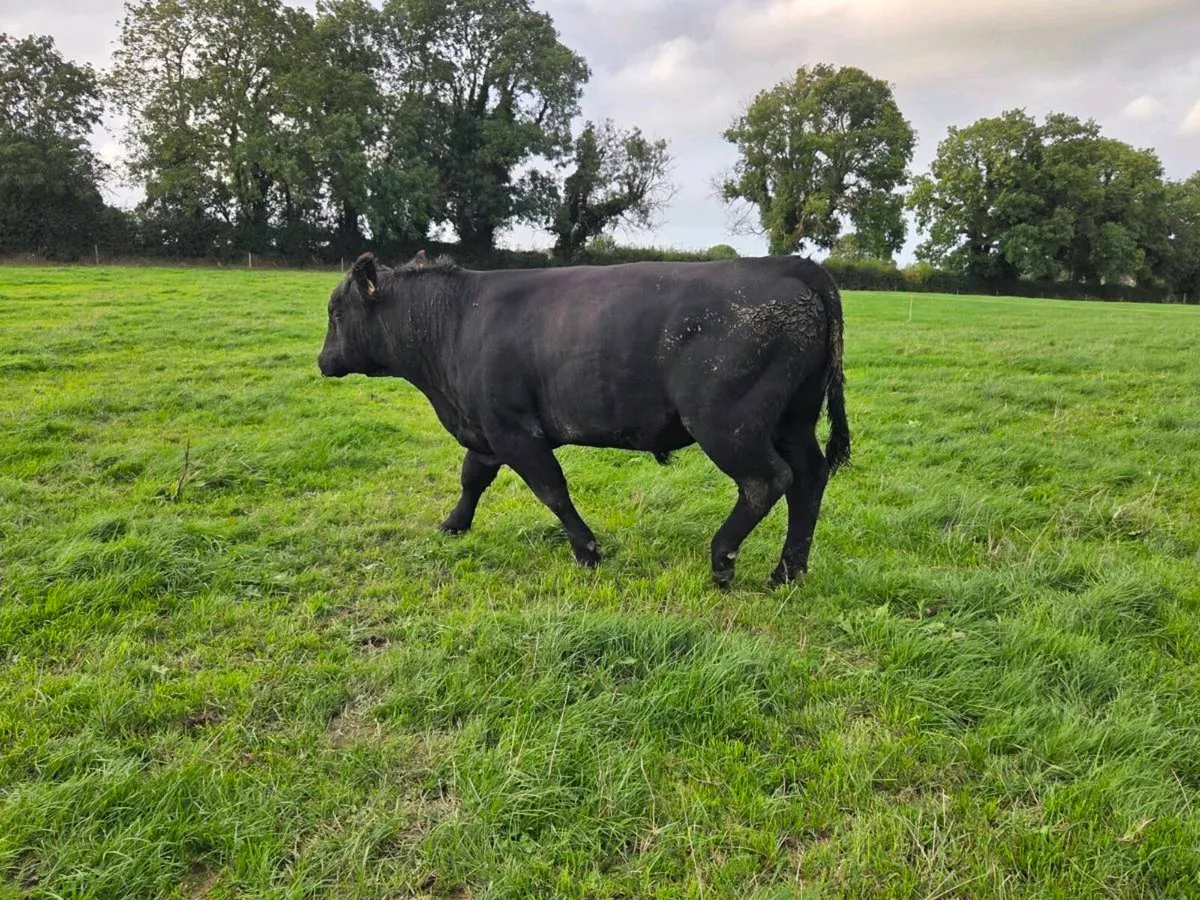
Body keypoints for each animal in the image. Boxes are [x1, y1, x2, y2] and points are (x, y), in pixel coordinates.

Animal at [317, 251, 850, 588]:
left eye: (335, 312)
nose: (323, 361)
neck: (456, 321)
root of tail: (786, 264)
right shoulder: (486, 430)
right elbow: (472, 478)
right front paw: (453, 525)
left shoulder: (515, 431)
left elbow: (551, 490)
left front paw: (588, 552)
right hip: (792, 421)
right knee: (809, 477)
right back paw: (787, 572)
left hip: (728, 424)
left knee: (767, 480)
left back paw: (723, 560)